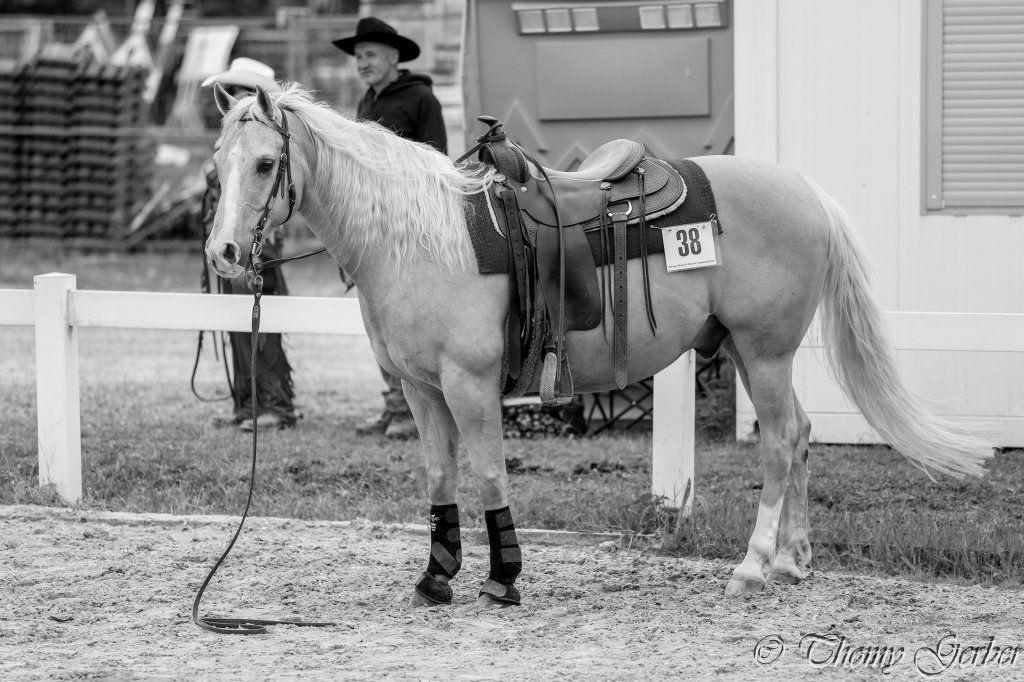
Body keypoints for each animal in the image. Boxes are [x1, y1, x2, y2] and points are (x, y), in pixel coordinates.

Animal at [204, 84, 993, 605]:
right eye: (217, 161)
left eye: (267, 164)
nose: (223, 253)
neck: (417, 238)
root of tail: (805, 192)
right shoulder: (423, 390)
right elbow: (438, 477)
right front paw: (437, 575)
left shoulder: (468, 383)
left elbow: (488, 471)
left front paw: (504, 577)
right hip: (747, 350)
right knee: (797, 434)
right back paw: (793, 561)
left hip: (764, 351)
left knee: (777, 443)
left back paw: (752, 565)